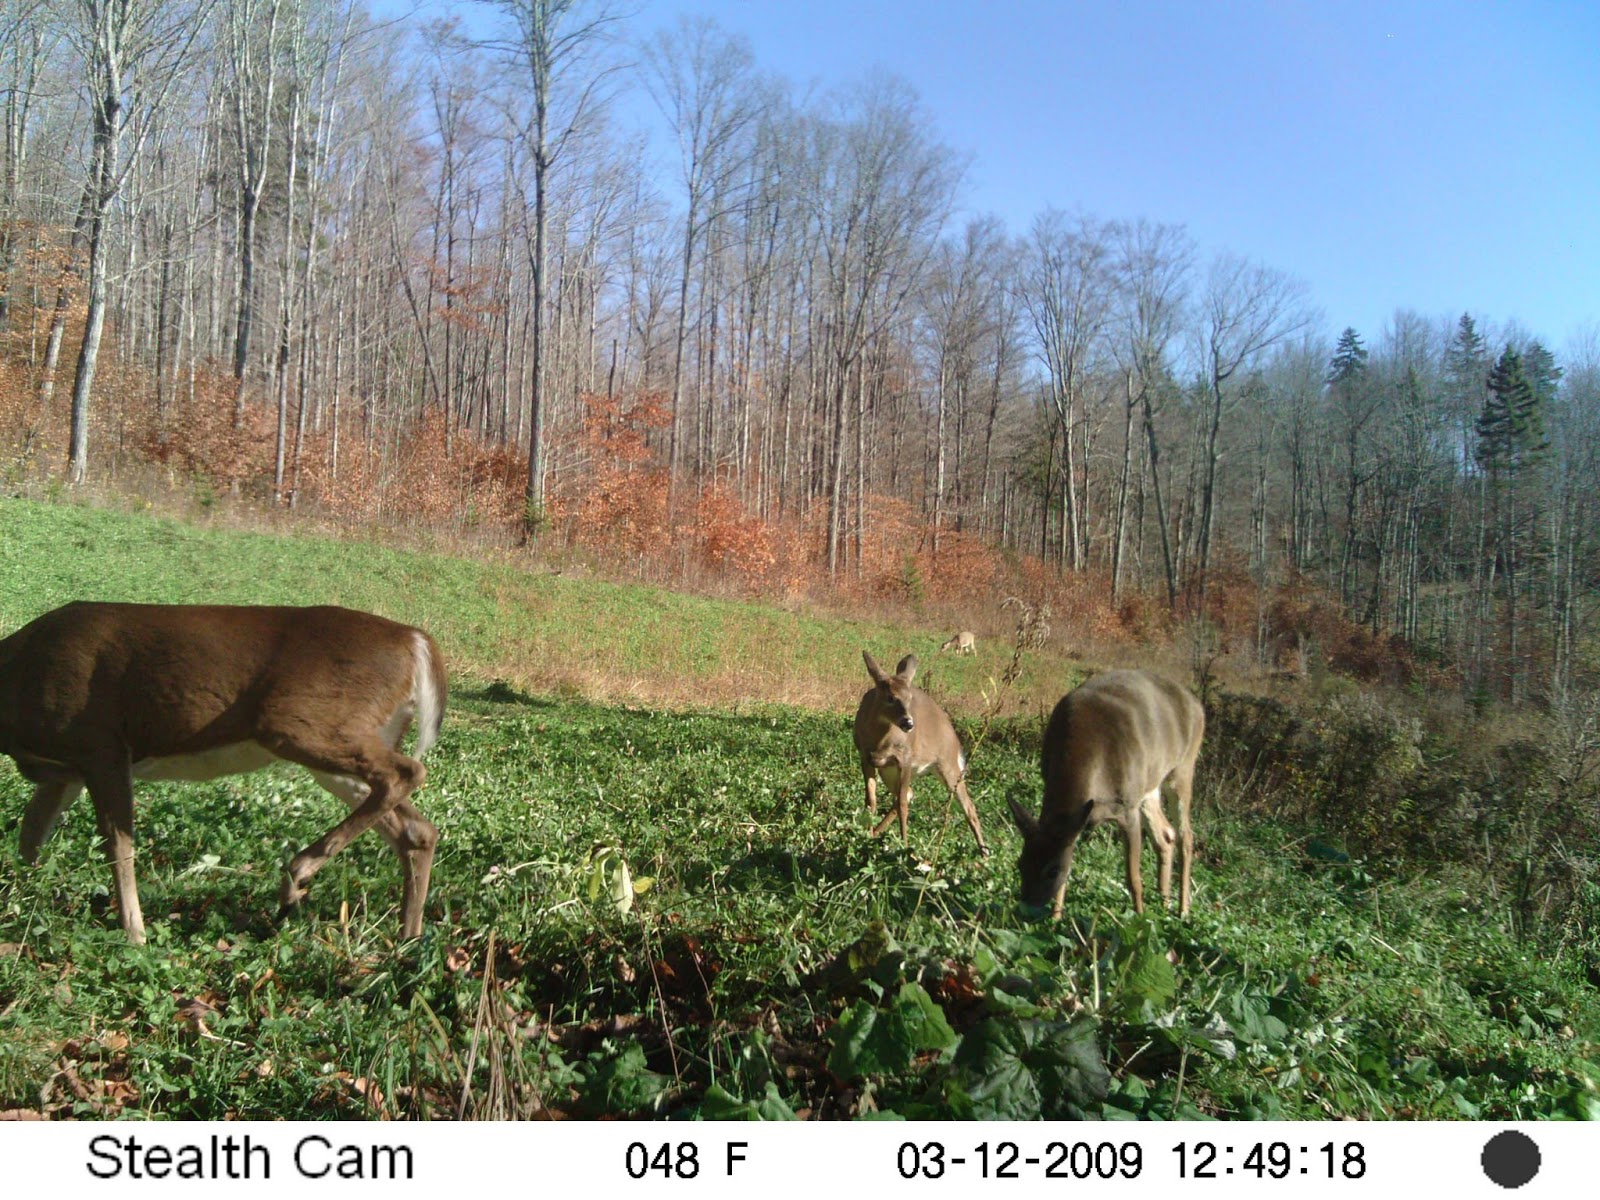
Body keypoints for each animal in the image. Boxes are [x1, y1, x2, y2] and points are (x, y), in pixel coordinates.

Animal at [0, 602, 446, 945]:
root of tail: (417, 642)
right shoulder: (64, 772)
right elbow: (31, 836)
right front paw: (22, 900)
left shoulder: (100, 744)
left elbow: (117, 844)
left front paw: (135, 935)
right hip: (347, 738)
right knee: (416, 827)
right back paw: (408, 940)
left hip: (299, 723)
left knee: (407, 772)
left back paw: (297, 874)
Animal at [853, 651, 988, 854]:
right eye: (890, 697)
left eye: (909, 698)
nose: (908, 723)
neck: (880, 742)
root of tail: (955, 740)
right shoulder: (865, 756)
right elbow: (871, 801)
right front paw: (865, 835)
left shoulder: (905, 759)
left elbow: (902, 806)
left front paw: (905, 845)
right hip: (889, 771)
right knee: (909, 794)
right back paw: (876, 833)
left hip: (947, 764)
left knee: (968, 805)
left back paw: (985, 853)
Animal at [1006, 669, 1203, 918]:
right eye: (1020, 863)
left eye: (1052, 871)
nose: (1026, 909)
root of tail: (1197, 704)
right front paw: (1055, 918)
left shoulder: (1128, 807)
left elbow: (1133, 878)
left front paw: (1139, 919)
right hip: (1149, 787)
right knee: (1166, 835)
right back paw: (1163, 903)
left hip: (1183, 769)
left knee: (1186, 835)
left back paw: (1182, 910)